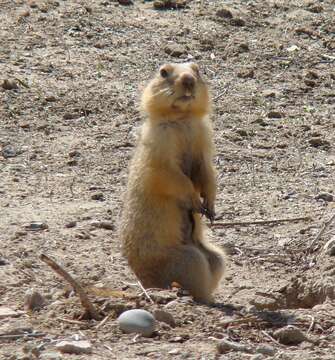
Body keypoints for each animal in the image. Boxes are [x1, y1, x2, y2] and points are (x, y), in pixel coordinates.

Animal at [121, 62, 226, 304]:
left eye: (197, 69)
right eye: (163, 72)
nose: (188, 79)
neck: (182, 119)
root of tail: (144, 281)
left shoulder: (203, 141)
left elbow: (207, 171)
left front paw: (211, 207)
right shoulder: (160, 145)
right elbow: (172, 176)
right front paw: (196, 202)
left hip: (214, 256)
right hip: (188, 259)